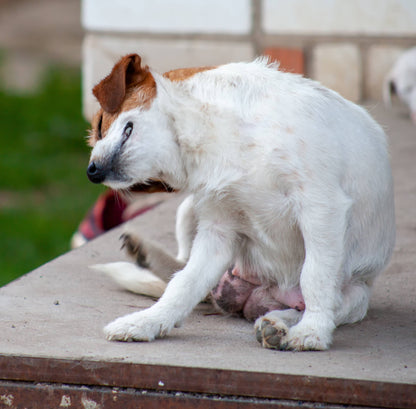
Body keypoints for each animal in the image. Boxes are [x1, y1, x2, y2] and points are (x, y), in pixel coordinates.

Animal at [86, 52, 394, 350]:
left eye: (100, 125)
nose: (91, 173)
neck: (218, 137)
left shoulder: (321, 208)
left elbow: (316, 277)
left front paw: (312, 332)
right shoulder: (218, 229)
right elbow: (184, 283)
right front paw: (147, 322)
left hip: (356, 294)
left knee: (321, 304)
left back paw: (279, 325)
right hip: (189, 212)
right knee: (181, 265)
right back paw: (147, 257)